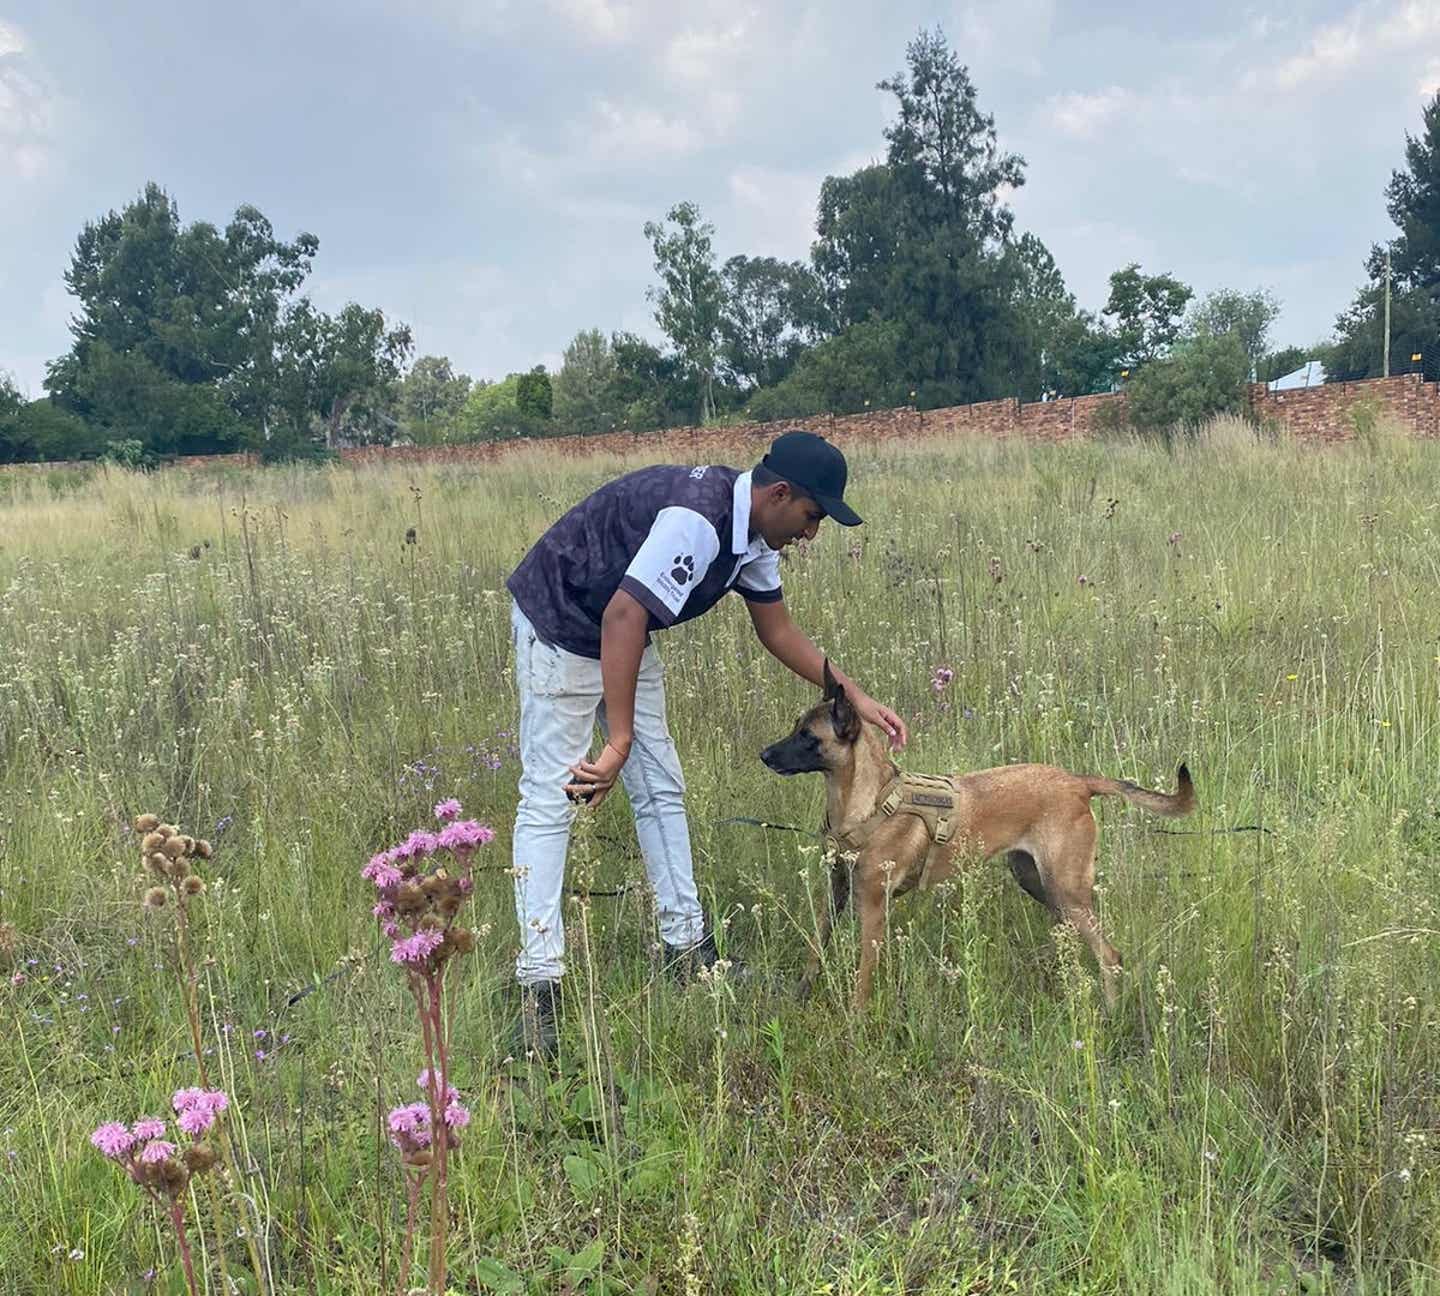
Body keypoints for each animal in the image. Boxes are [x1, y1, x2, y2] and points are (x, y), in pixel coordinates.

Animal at [760, 662, 1198, 1008]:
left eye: (808, 736)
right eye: (795, 727)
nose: (764, 755)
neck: (867, 802)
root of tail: (1078, 782)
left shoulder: (872, 908)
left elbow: (862, 980)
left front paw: (855, 1023)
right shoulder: (834, 891)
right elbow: (815, 949)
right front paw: (799, 996)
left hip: (1066, 890)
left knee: (1110, 955)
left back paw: (1108, 1012)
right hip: (1040, 885)